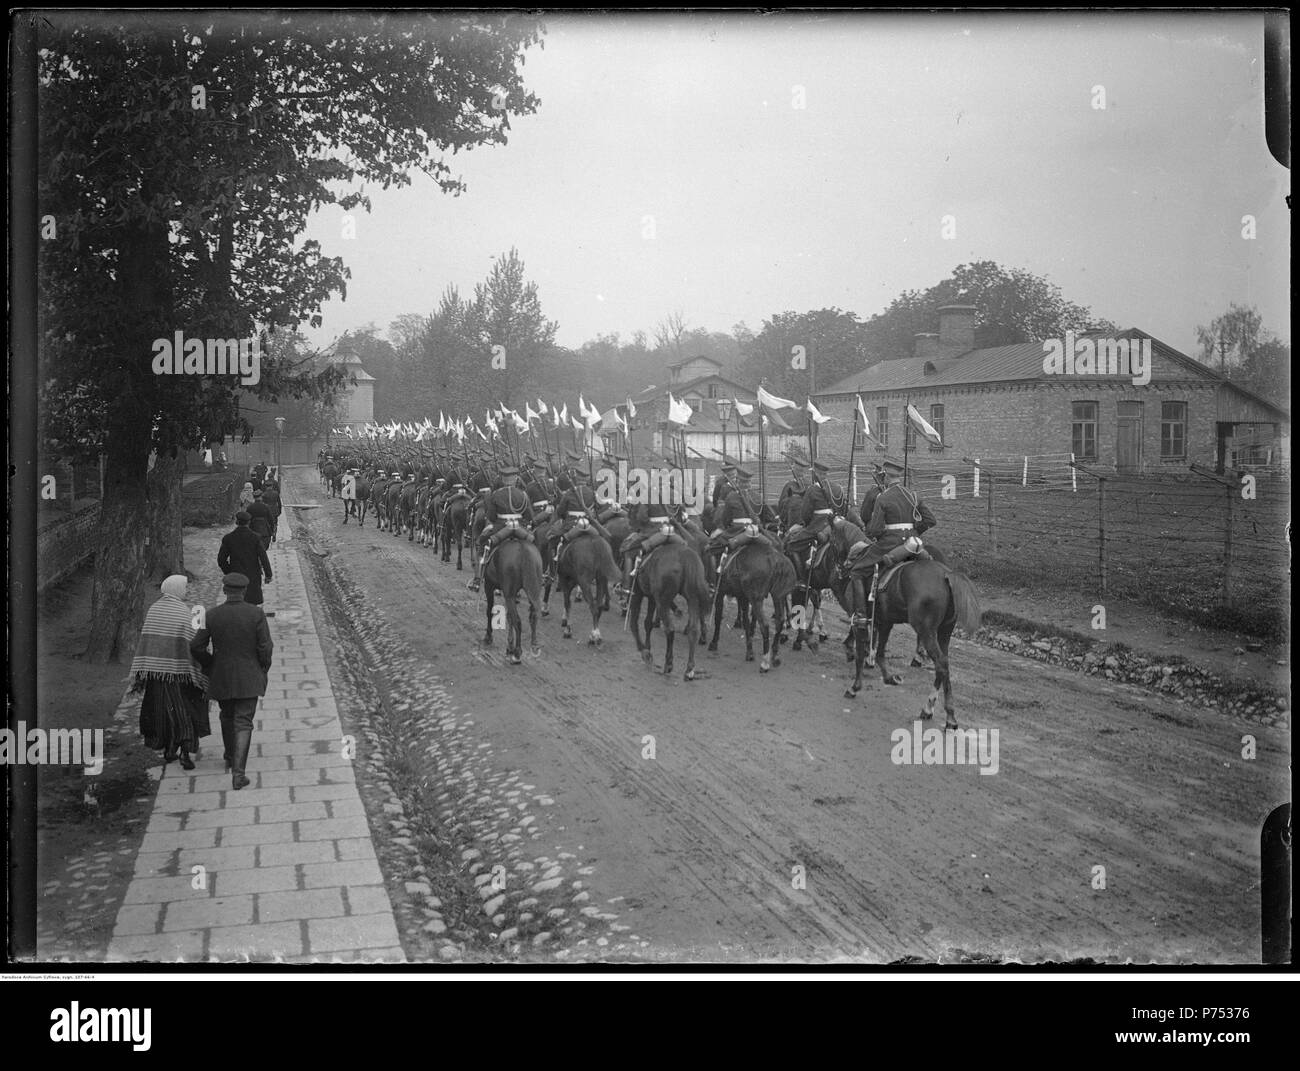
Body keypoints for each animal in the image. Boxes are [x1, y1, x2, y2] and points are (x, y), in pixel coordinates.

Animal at [621, 540, 712, 681]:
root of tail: (685, 556)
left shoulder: (638, 593)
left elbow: (634, 623)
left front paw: (645, 652)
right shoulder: (652, 597)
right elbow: (647, 623)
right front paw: (647, 648)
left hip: (663, 601)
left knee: (670, 628)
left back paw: (668, 664)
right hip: (692, 599)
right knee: (693, 630)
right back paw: (689, 670)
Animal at [826, 517, 977, 727]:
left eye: (831, 540)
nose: (838, 570)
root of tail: (947, 575)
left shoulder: (860, 622)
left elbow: (861, 652)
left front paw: (855, 686)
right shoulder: (885, 621)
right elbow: (880, 652)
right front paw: (889, 678)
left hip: (926, 631)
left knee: (940, 663)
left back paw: (947, 714)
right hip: (944, 632)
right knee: (944, 665)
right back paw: (931, 709)